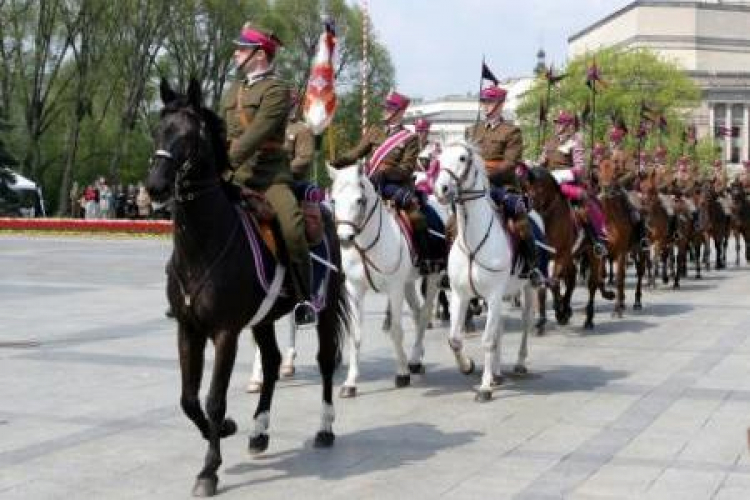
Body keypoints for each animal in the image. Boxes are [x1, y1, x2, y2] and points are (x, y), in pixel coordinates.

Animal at [148, 79, 352, 496]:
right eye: (158, 131)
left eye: (188, 136)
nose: (155, 186)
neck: (203, 244)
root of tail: (323, 208)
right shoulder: (188, 329)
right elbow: (188, 399)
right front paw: (225, 430)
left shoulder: (225, 332)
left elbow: (213, 399)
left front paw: (209, 469)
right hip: (263, 319)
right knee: (271, 363)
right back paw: (259, 432)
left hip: (322, 308)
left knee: (325, 361)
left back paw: (325, 429)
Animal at [328, 162, 440, 396]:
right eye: (333, 200)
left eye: (359, 200)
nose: (344, 238)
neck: (367, 245)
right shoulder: (354, 289)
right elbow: (356, 334)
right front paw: (350, 383)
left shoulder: (394, 289)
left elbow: (396, 331)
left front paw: (402, 373)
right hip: (408, 282)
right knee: (417, 314)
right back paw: (416, 358)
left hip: (433, 277)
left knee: (424, 314)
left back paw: (413, 360)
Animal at [432, 141, 536, 402]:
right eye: (440, 158)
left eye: (462, 158)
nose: (441, 189)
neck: (473, 240)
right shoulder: (460, 295)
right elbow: (454, 339)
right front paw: (467, 366)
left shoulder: (494, 294)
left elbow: (488, 340)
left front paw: (485, 387)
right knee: (499, 327)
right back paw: (497, 373)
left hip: (528, 288)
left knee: (525, 322)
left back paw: (519, 364)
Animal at [524, 168, 612, 332]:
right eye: (526, 187)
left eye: (540, 188)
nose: (529, 208)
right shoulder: (544, 259)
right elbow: (547, 286)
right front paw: (545, 319)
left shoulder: (561, 255)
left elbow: (553, 283)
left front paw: (560, 312)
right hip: (571, 257)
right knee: (571, 280)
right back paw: (567, 308)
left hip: (591, 255)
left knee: (591, 284)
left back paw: (588, 319)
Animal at [596, 160, 648, 316]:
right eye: (599, 170)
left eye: (615, 172)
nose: (606, 189)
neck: (611, 220)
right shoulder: (603, 251)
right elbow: (601, 276)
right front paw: (609, 295)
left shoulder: (621, 252)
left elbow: (619, 278)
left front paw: (617, 309)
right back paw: (623, 300)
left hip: (639, 250)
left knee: (639, 272)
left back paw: (637, 301)